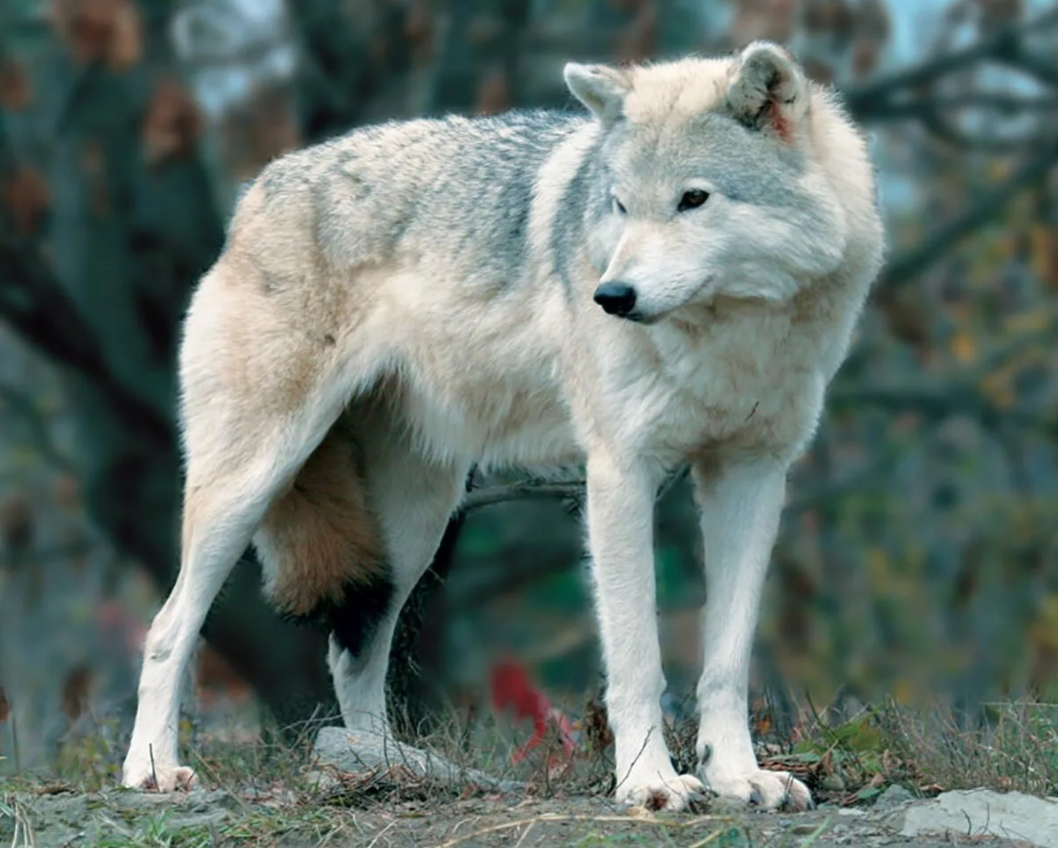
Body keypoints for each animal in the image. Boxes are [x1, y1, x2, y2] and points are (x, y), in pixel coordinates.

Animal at [120, 42, 884, 807]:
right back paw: (152, 770)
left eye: (693, 199)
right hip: (254, 484)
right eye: (620, 205)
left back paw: (380, 768)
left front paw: (738, 777)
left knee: (352, 657)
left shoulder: (753, 474)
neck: (732, 334)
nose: (610, 295)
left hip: (413, 527)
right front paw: (649, 784)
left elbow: (726, 661)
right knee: (167, 628)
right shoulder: (620, 472)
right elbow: (637, 659)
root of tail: (258, 188)